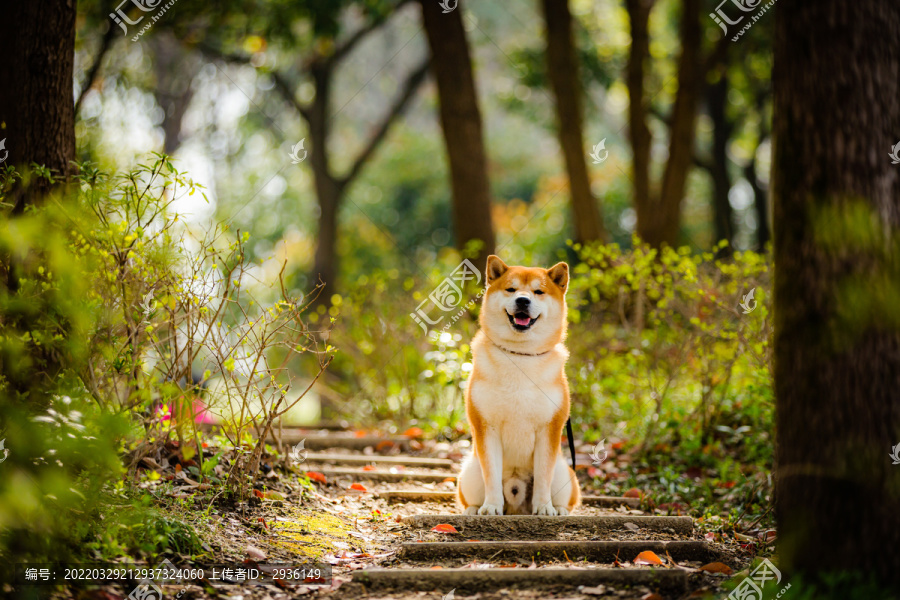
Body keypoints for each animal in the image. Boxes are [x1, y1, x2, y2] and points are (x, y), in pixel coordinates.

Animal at [458, 254, 584, 516]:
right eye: (511, 289)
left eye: (538, 292)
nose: (523, 300)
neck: (520, 357)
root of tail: (516, 505)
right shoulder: (486, 426)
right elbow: (491, 475)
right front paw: (491, 507)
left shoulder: (549, 428)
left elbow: (543, 475)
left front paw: (544, 508)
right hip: (469, 474)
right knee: (472, 494)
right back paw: (473, 509)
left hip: (565, 474)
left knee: (565, 496)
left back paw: (559, 510)